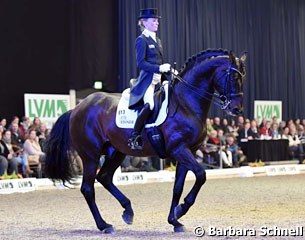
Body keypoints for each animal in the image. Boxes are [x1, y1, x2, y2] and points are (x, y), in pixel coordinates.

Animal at [44, 48, 245, 232]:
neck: (185, 103)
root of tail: (77, 108)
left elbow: (178, 187)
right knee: (88, 188)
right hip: (90, 156)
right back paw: (104, 225)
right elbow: (201, 175)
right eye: (234, 78)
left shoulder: (189, 151)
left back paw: (128, 211)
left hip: (116, 152)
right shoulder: (179, 150)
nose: (236, 109)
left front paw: (175, 220)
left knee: (105, 177)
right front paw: (181, 210)